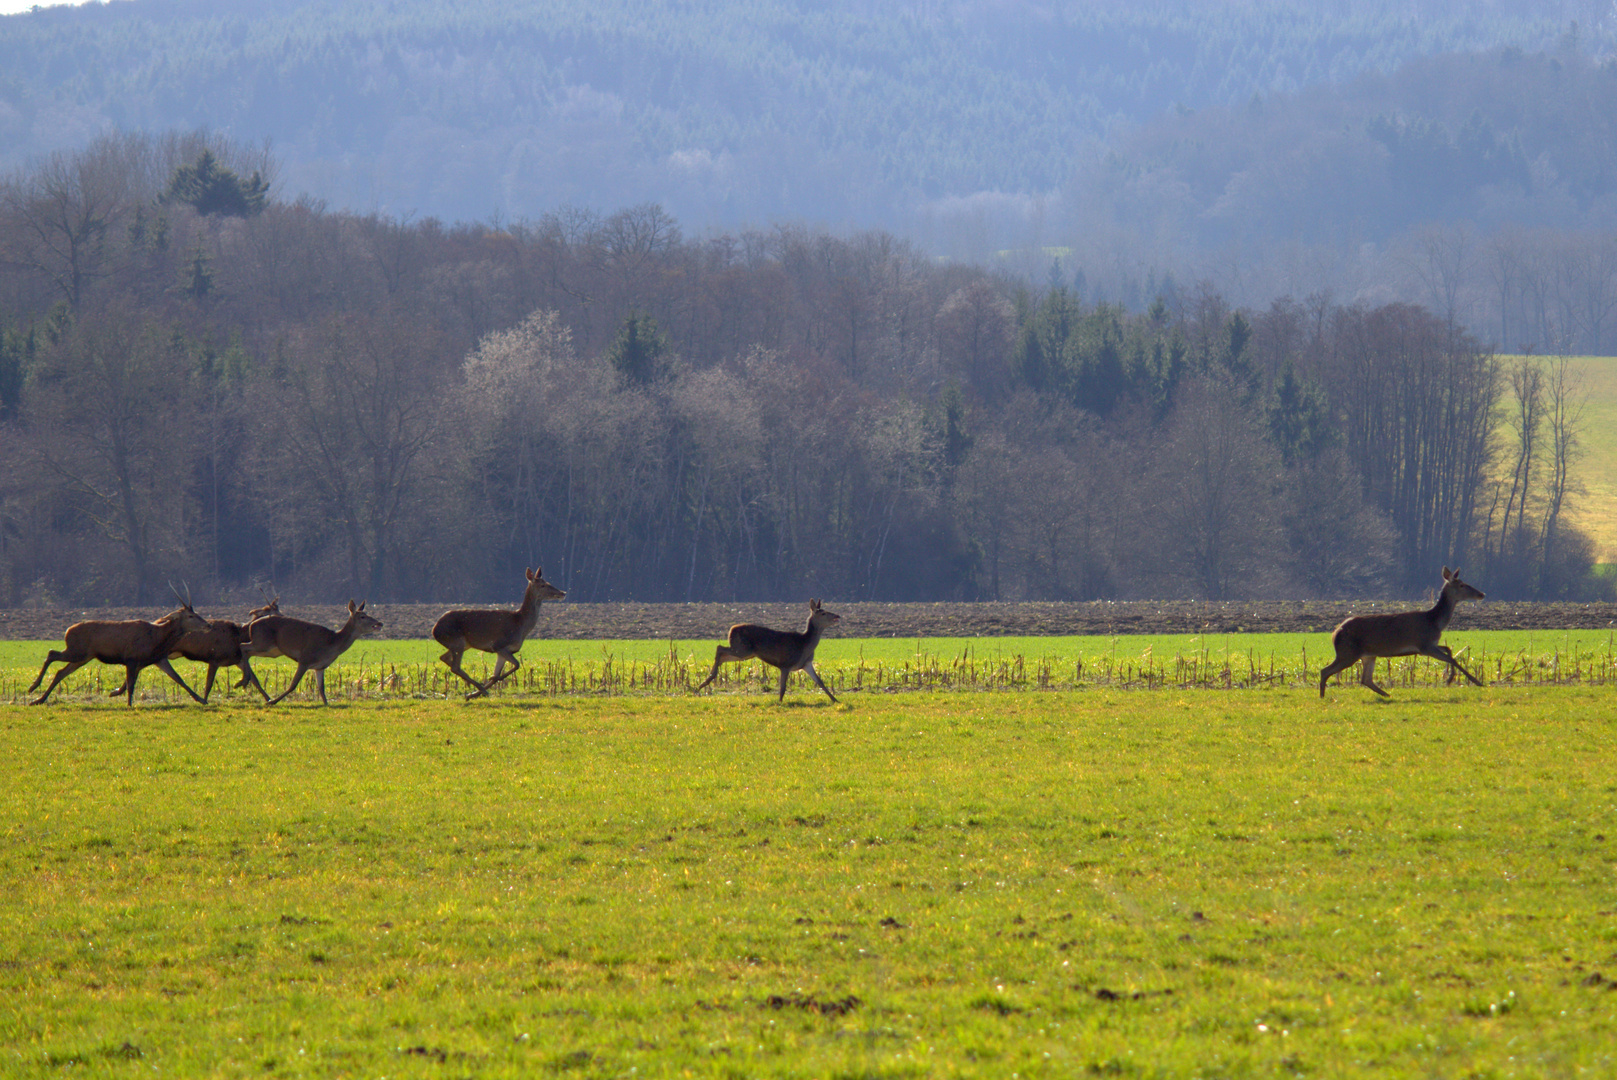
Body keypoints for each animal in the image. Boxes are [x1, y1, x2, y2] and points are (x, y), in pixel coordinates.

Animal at [28, 585, 213, 704]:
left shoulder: (158, 659)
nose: (208, 625)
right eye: (190, 616)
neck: (158, 640)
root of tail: (67, 631)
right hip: (77, 650)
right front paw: (129, 704)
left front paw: (201, 700)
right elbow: (131, 684)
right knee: (52, 654)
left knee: (60, 672)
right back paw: (33, 688)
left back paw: (38, 699)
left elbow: (178, 678)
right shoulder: (131, 657)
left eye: (196, 612)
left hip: (84, 656)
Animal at [239, 598, 384, 708]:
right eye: (363, 616)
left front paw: (326, 704)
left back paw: (246, 680)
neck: (332, 643)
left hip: (272, 650)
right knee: (242, 647)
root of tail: (251, 625)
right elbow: (293, 685)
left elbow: (321, 688)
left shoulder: (320, 666)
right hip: (263, 642)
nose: (380, 623)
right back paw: (245, 681)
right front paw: (272, 702)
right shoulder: (305, 658)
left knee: (247, 652)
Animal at [433, 565, 565, 701]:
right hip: (457, 639)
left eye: (548, 582)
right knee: (455, 666)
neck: (521, 625)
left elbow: (501, 671)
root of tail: (435, 629)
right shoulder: (499, 645)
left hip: (463, 644)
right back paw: (478, 690)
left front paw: (483, 686)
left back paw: (477, 691)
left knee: (444, 657)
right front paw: (486, 684)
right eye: (543, 585)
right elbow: (516, 664)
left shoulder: (503, 650)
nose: (563, 593)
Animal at [695, 594, 847, 704]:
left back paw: (705, 682)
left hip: (745, 653)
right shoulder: (786, 663)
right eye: (823, 613)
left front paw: (835, 700)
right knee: (719, 648)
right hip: (743, 649)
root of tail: (731, 630)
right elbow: (783, 687)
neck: (804, 645)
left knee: (722, 655)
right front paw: (779, 702)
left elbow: (820, 682)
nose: (837, 616)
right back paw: (704, 683)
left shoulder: (806, 664)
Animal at [1319, 565, 1481, 701]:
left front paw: (1452, 678)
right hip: (1348, 652)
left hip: (1367, 654)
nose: (1482, 594)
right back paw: (1322, 696)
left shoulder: (1429, 645)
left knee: (1366, 679)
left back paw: (1387, 695)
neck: (1435, 622)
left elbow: (1449, 650)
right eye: (1461, 585)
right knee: (1325, 671)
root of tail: (1335, 633)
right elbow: (1451, 658)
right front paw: (1473, 681)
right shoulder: (1424, 645)